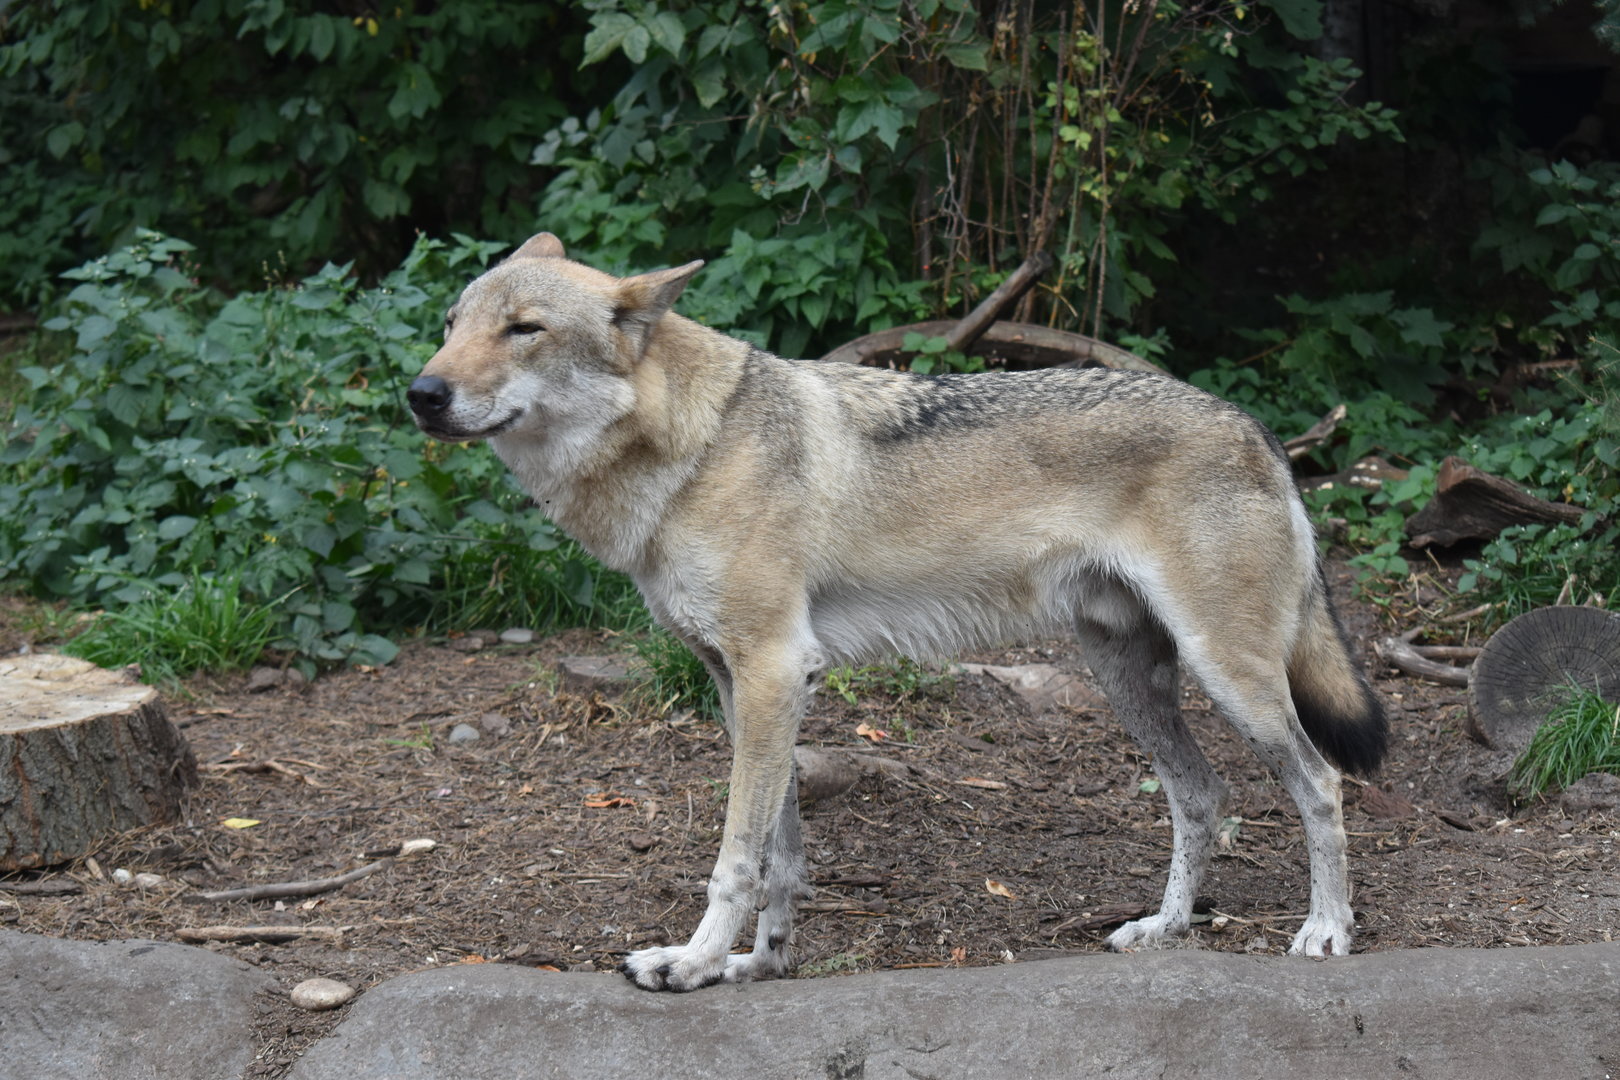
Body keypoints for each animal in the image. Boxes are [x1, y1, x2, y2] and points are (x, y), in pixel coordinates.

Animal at [407, 232, 1388, 992]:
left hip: (1230, 677)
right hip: (1129, 679)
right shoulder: (743, 684)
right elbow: (783, 855)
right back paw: (1165, 929)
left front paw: (690, 965)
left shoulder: (772, 672)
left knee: (1321, 785)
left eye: (524, 330)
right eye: (452, 327)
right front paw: (761, 966)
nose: (421, 393)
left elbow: (736, 857)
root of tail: (1258, 428)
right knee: (1200, 793)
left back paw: (1326, 932)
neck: (697, 447)